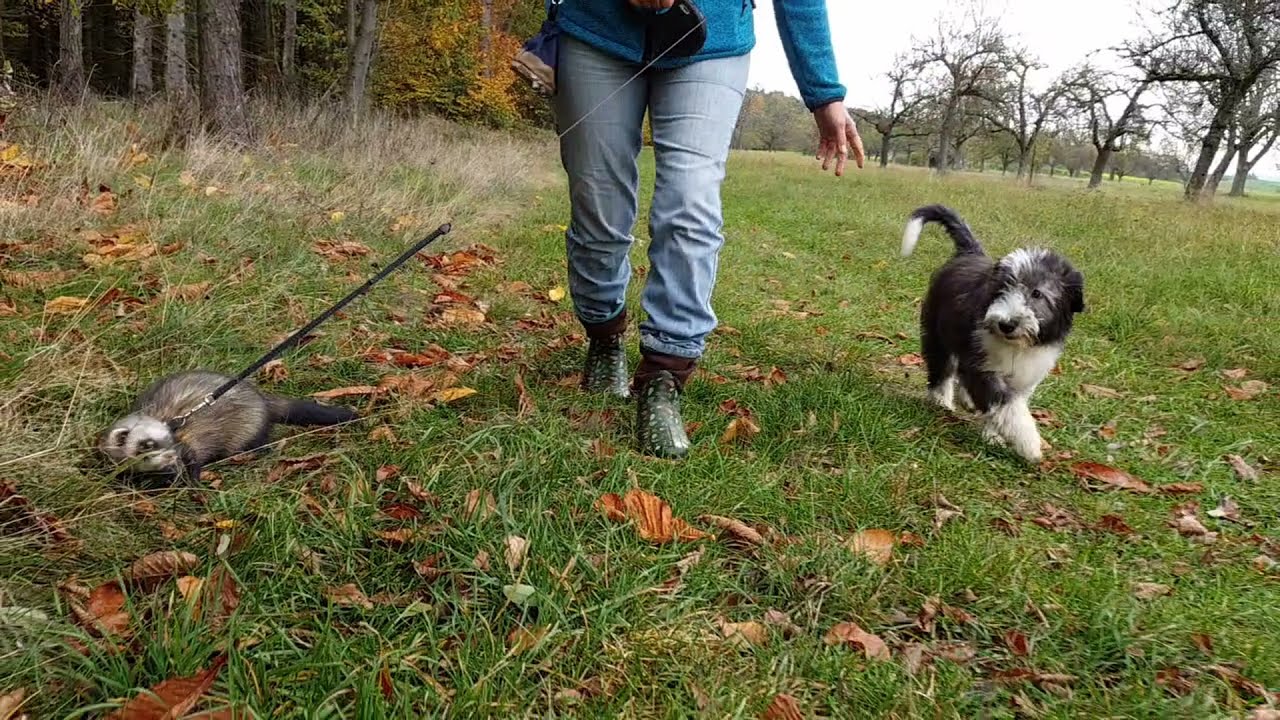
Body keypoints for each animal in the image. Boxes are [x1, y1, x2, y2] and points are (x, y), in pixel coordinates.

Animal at [896, 203, 1085, 458]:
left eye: (1036, 293)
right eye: (1002, 289)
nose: (1006, 324)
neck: (1016, 346)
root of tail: (969, 253)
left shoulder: (1027, 376)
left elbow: (1006, 406)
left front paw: (994, 435)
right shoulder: (983, 367)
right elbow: (1007, 405)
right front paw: (1029, 444)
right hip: (936, 331)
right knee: (942, 366)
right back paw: (941, 400)